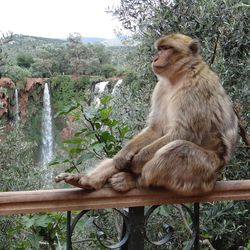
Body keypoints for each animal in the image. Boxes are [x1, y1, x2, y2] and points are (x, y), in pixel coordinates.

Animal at [55, 33, 238, 196]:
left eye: (167, 49)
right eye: (159, 49)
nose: (155, 58)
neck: (179, 75)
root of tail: (214, 179)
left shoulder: (196, 88)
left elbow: (185, 132)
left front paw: (135, 162)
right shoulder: (160, 88)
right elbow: (156, 128)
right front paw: (124, 154)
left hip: (203, 173)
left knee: (178, 148)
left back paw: (134, 180)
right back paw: (87, 181)